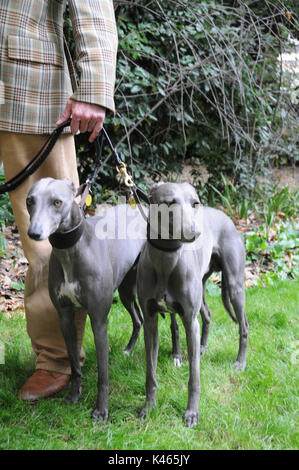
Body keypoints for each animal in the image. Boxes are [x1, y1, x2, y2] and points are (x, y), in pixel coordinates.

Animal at [26, 177, 146, 422]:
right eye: (29, 201)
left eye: (57, 202)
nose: (34, 233)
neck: (71, 251)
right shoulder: (65, 317)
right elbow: (73, 364)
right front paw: (74, 395)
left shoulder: (99, 320)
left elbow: (103, 374)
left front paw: (101, 410)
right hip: (126, 289)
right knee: (138, 319)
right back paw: (128, 350)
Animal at [137, 182, 250, 428]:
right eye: (169, 202)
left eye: (195, 203)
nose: (194, 232)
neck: (166, 261)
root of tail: (227, 217)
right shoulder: (150, 322)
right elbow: (150, 373)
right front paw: (148, 407)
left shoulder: (190, 320)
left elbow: (194, 378)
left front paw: (191, 413)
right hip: (203, 284)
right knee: (207, 315)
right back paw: (202, 348)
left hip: (235, 286)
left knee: (243, 325)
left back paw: (240, 362)